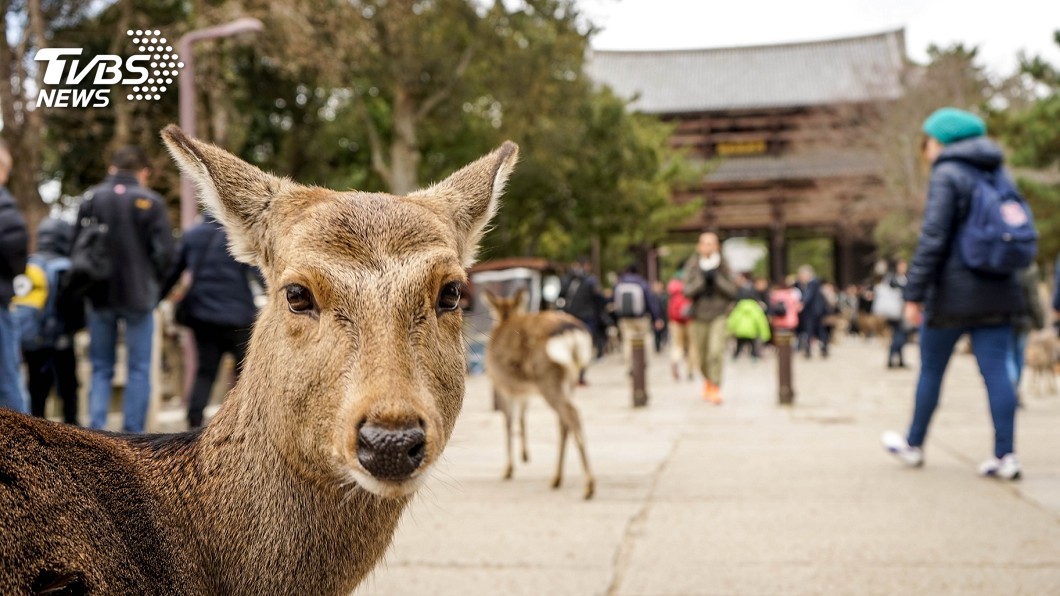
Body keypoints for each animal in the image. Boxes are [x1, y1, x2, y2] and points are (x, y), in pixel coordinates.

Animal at [482, 289, 595, 499]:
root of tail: (572, 333)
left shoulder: (501, 385)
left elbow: (508, 422)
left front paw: (508, 469)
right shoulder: (522, 391)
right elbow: (521, 417)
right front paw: (524, 456)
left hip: (547, 376)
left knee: (572, 415)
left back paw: (589, 486)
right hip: (568, 380)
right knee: (564, 422)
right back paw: (556, 478)